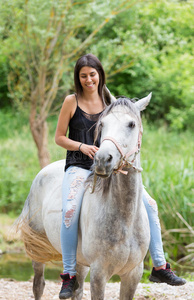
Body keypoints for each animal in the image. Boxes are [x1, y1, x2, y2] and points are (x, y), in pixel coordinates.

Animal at [17, 92, 152, 298]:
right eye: (102, 124)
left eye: (131, 124)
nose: (103, 159)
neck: (125, 220)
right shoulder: (99, 274)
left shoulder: (133, 274)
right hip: (38, 250)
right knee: (39, 285)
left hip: (80, 262)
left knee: (77, 290)